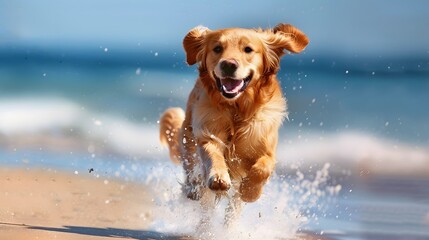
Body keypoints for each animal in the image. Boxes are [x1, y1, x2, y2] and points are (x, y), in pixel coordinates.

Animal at [159, 23, 306, 227]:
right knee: (193, 175)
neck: (237, 110)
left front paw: (250, 192)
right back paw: (195, 193)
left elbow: (263, 168)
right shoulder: (207, 133)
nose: (228, 64)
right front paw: (219, 177)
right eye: (217, 48)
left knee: (233, 209)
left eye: (248, 49)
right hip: (188, 136)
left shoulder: (266, 149)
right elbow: (213, 155)